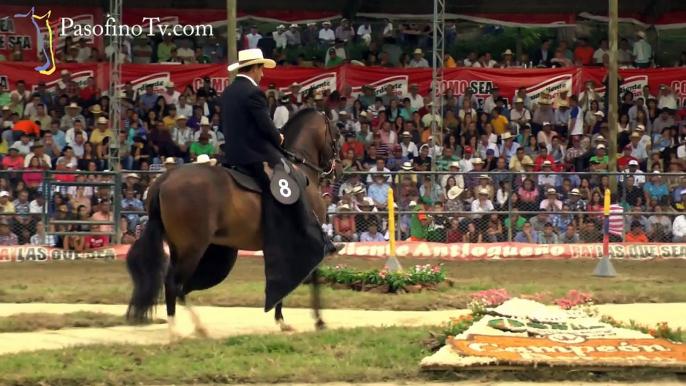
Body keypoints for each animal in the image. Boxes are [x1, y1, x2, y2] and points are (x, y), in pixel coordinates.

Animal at [125, 108, 342, 338]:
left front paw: (282, 321)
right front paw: (318, 321)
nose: (338, 170)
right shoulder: (306, 241)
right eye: (337, 135)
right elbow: (311, 276)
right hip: (193, 248)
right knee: (174, 283)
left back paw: (194, 327)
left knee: (177, 286)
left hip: (178, 248)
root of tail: (165, 179)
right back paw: (180, 330)